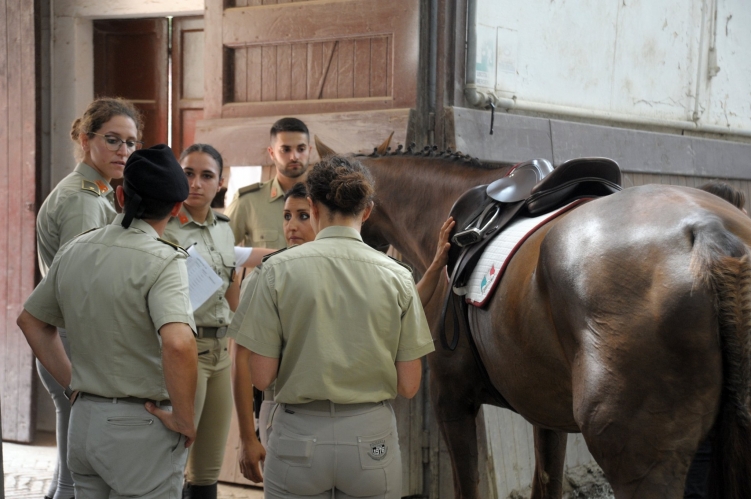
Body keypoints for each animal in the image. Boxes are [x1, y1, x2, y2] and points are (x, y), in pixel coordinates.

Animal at [316, 137, 751, 499]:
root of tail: (708, 232)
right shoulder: (546, 411)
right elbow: (547, 483)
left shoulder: (451, 399)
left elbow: (468, 486)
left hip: (638, 460)